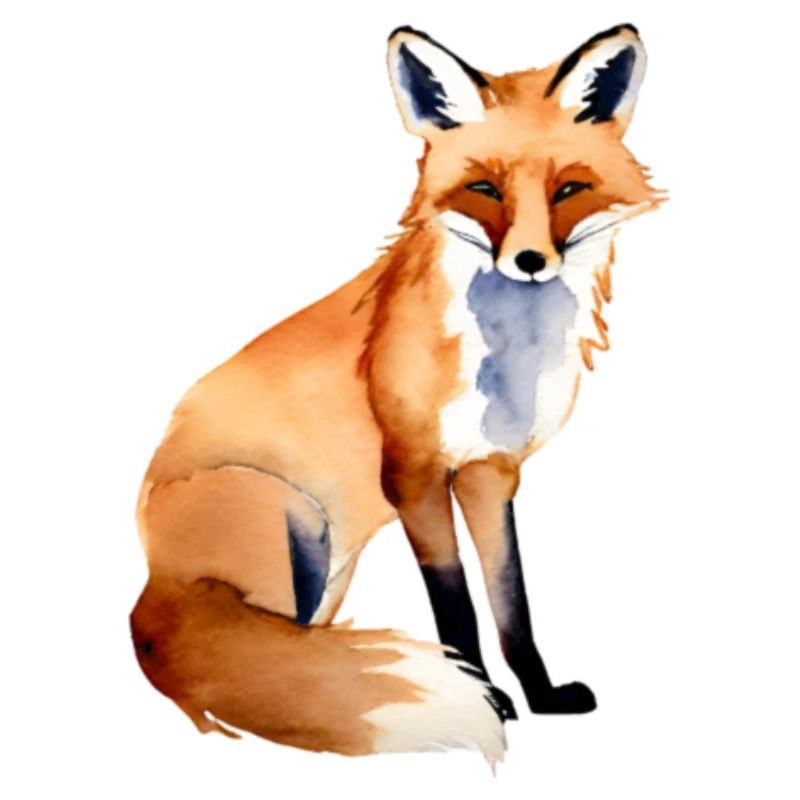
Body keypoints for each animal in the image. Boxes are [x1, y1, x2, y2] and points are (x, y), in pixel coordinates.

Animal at [130, 24, 661, 765]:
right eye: (483, 187)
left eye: (569, 189)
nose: (530, 261)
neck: (510, 355)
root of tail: (152, 587)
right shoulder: (413, 473)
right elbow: (456, 606)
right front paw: (488, 698)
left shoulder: (490, 472)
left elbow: (511, 600)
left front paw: (540, 694)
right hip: (297, 519)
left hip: (327, 569)